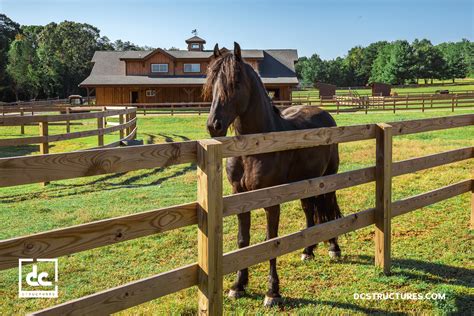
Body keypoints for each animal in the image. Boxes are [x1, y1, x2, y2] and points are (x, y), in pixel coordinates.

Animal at [202, 41, 342, 306]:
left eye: (236, 81)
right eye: (211, 80)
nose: (214, 125)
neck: (254, 148)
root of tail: (324, 113)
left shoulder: (271, 200)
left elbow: (270, 242)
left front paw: (272, 292)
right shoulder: (240, 197)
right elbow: (243, 240)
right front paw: (238, 285)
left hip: (328, 178)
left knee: (328, 206)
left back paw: (333, 248)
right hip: (305, 183)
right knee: (310, 209)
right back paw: (308, 250)